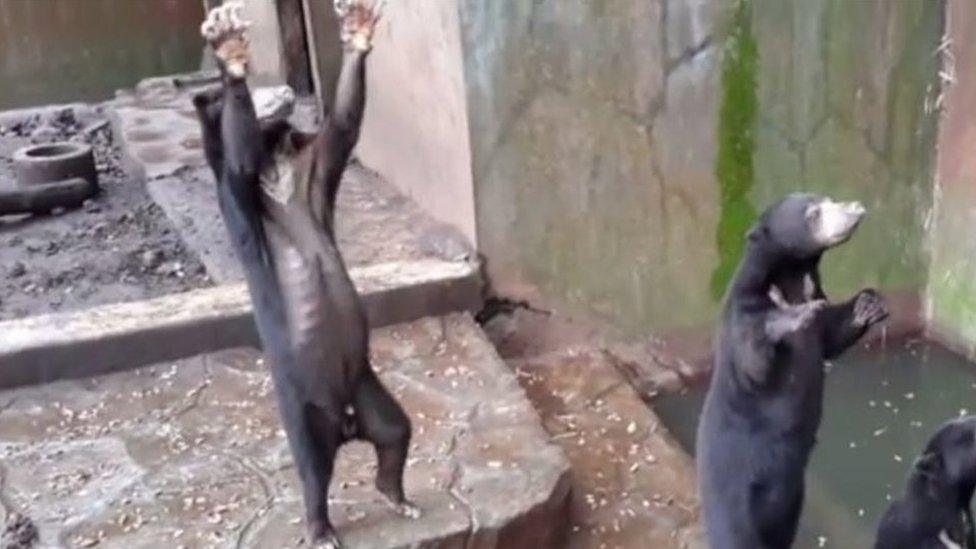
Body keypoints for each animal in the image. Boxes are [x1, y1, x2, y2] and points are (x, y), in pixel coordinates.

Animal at [193, 2, 416, 544]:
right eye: (252, 91)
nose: (284, 89)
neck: (277, 162)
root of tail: (346, 426)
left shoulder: (315, 159)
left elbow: (343, 127)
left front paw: (357, 29)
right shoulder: (235, 188)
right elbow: (236, 157)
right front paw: (228, 50)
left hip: (369, 390)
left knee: (396, 432)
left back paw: (397, 497)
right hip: (302, 409)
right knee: (313, 472)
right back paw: (322, 531)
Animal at [692, 194, 892, 548]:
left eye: (828, 200)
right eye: (813, 213)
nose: (855, 208)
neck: (793, 277)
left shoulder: (819, 301)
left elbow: (831, 336)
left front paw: (868, 303)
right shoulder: (743, 313)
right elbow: (754, 362)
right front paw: (794, 317)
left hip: (792, 500)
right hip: (734, 490)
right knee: (736, 534)